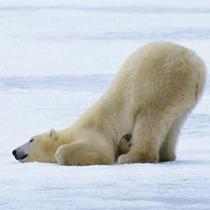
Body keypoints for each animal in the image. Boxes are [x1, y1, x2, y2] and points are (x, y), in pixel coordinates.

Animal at [11, 41, 205, 165]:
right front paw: (124, 144)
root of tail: (196, 65)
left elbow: (96, 152)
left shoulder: (95, 133)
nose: (14, 151)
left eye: (31, 139)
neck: (72, 132)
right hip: (183, 97)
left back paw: (131, 157)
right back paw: (165, 154)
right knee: (174, 124)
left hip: (159, 84)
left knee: (149, 120)